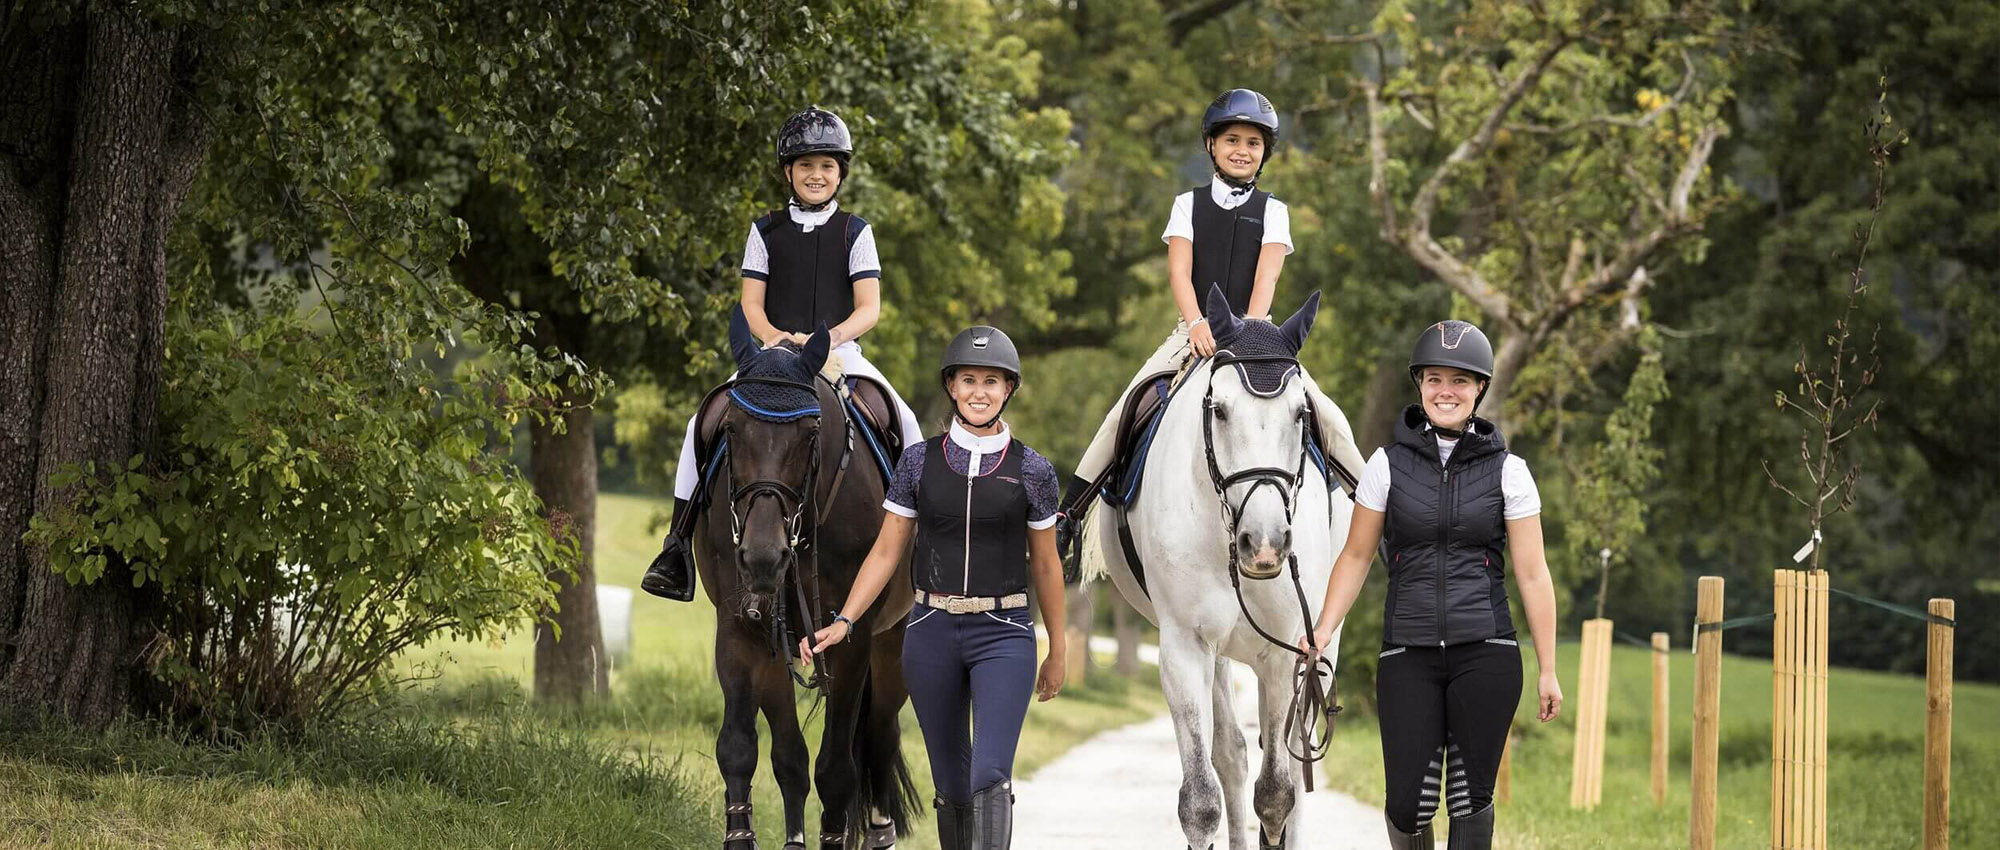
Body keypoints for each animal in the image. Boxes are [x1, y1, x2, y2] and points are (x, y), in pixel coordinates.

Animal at [688, 308, 908, 844]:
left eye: (810, 434)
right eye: (732, 428)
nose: (762, 558)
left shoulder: (850, 641)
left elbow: (837, 770)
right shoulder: (742, 631)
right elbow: (746, 750)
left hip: (891, 649)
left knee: (881, 736)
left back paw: (880, 831)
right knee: (793, 753)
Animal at [1080, 286, 1360, 848]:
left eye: (1300, 414)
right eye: (1220, 411)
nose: (1265, 544)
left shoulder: (1285, 653)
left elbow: (1276, 795)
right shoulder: (1185, 647)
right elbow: (1202, 801)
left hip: (1322, 643)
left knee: (1294, 764)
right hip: (1220, 652)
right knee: (1230, 755)